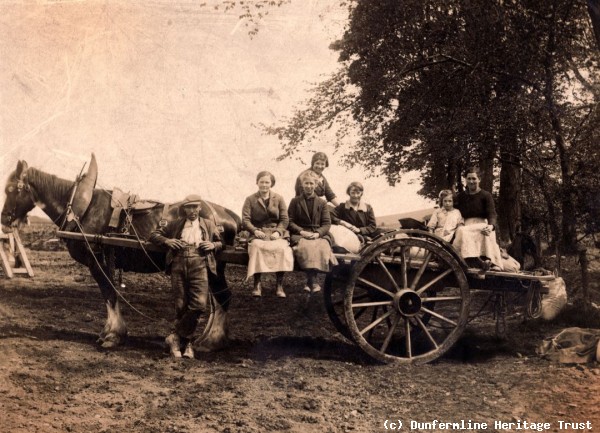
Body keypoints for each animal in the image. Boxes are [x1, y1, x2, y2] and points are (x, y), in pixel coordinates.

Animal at [2, 157, 241, 350]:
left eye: (12, 190)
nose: (4, 219)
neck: (82, 209)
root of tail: (228, 214)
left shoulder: (98, 261)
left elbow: (109, 294)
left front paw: (113, 335)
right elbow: (109, 295)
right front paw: (108, 332)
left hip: (214, 262)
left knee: (223, 297)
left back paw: (212, 341)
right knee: (216, 300)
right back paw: (205, 337)